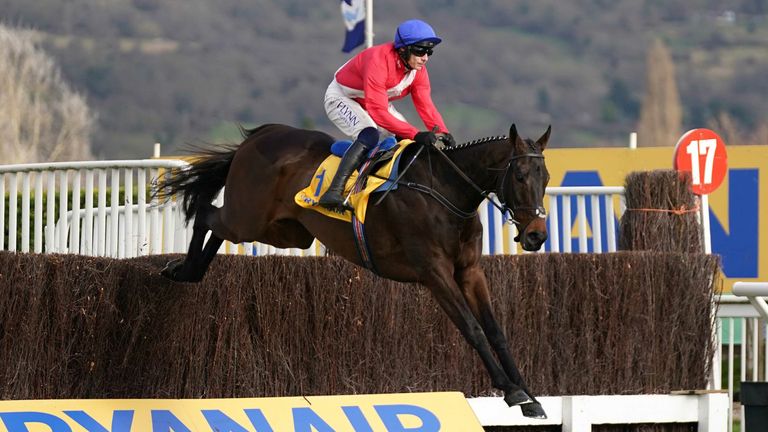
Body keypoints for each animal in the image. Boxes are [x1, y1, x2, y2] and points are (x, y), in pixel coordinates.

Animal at [158, 122, 552, 418]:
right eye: (519, 176)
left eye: (545, 177)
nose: (536, 235)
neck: (446, 189)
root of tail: (262, 134)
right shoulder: (434, 272)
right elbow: (473, 329)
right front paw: (512, 392)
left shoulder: (469, 270)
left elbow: (495, 330)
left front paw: (528, 396)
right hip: (249, 218)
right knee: (206, 212)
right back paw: (184, 269)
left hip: (284, 231)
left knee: (218, 225)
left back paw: (190, 270)